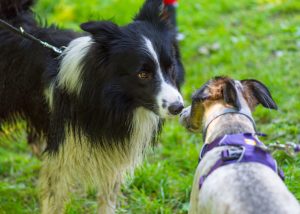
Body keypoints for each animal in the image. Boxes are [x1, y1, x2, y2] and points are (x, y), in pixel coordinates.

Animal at [0, 0, 184, 212]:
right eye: (143, 74)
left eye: (170, 67)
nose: (178, 107)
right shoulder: (62, 152)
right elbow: (54, 198)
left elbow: (107, 198)